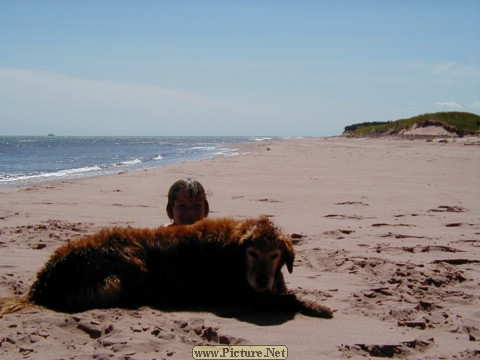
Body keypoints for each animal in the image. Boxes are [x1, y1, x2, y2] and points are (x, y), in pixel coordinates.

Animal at [11, 217, 332, 318]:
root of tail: (41, 284)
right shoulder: (241, 294)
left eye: (275, 255)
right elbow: (288, 298)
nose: (263, 279)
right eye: (252, 253)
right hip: (129, 263)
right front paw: (317, 306)